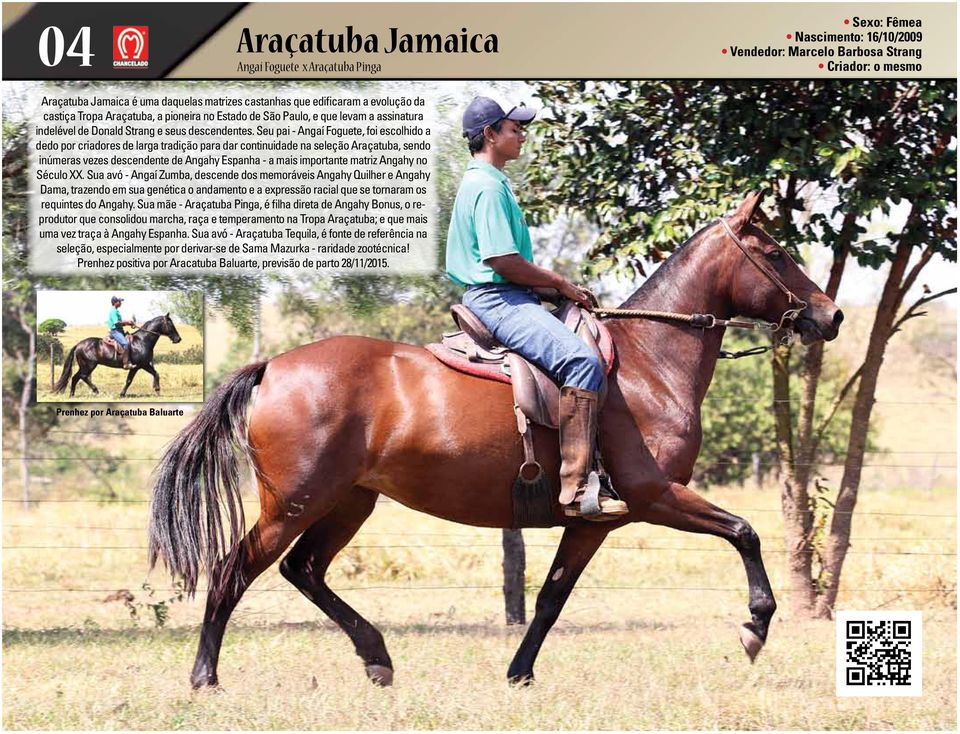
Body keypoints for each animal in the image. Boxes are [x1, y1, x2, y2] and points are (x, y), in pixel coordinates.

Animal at [54, 314, 184, 400]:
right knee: (81, 377)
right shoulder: (140, 365)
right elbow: (132, 380)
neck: (142, 341)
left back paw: (73, 395)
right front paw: (156, 390)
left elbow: (153, 374)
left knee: (77, 377)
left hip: (86, 366)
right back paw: (93, 391)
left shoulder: (142, 365)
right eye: (170, 324)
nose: (178, 339)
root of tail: (79, 344)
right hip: (89, 365)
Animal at [148, 191, 840, 688]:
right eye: (776, 253)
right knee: (235, 570)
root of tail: (273, 366)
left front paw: (519, 674)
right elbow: (745, 533)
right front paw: (755, 626)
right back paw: (206, 677)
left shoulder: (591, 520)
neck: (650, 359)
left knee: (304, 570)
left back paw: (376, 657)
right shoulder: (650, 496)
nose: (829, 315)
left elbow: (552, 597)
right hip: (296, 501)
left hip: (348, 501)